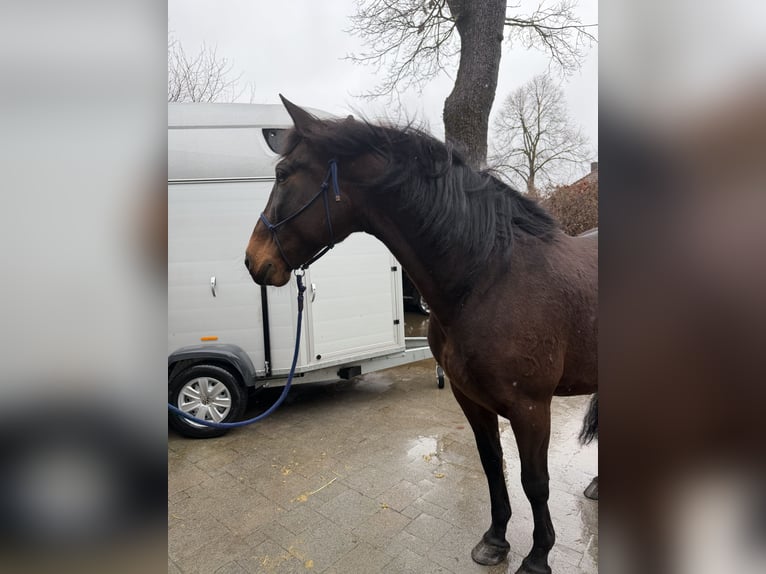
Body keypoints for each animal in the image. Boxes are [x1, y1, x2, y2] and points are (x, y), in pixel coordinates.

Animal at [244, 96, 598, 574]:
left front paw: (538, 556)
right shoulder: (470, 399)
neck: (488, 277)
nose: (253, 259)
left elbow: (535, 481)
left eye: (283, 174)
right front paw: (495, 540)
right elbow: (492, 465)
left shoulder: (531, 407)